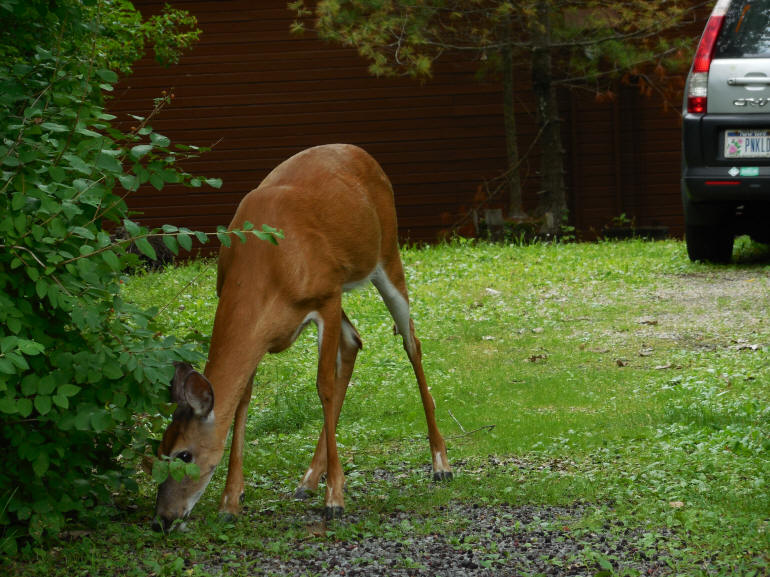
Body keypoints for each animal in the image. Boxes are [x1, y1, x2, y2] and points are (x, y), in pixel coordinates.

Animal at [153, 144, 452, 532]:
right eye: (160, 450)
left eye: (184, 454)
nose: (161, 519)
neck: (267, 267)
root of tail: (361, 152)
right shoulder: (271, 325)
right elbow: (244, 398)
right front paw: (230, 502)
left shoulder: (325, 299)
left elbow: (323, 386)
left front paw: (335, 499)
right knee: (355, 340)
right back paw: (308, 480)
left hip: (386, 255)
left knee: (410, 340)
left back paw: (440, 463)